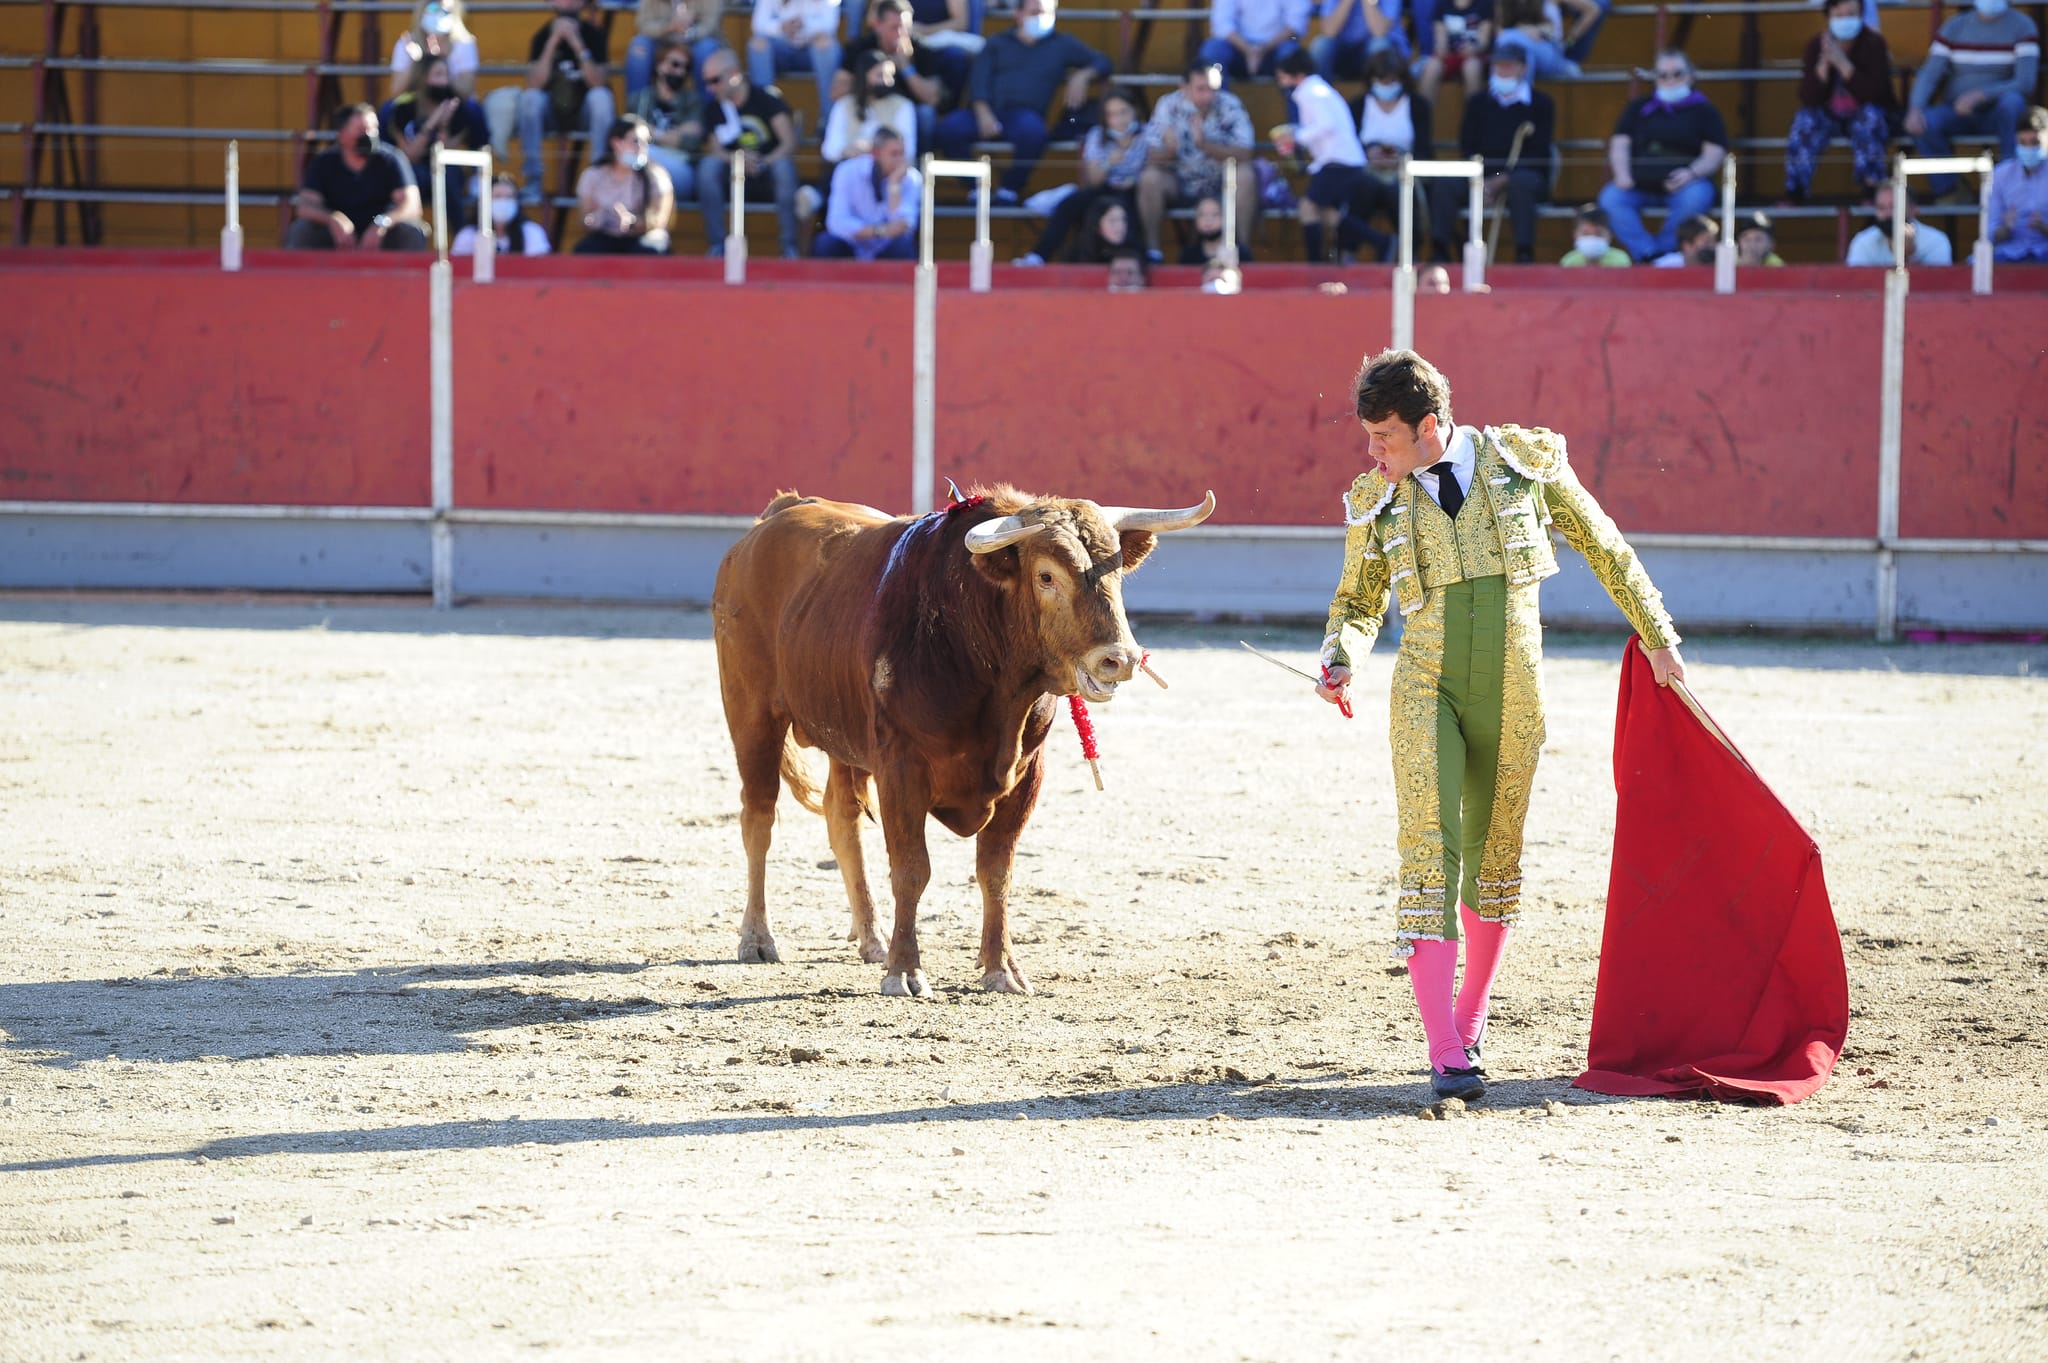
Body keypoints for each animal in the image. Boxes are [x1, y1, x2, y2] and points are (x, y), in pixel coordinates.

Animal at [710, 484, 1216, 998]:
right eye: (1046, 576)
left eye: (1115, 572)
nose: (1120, 659)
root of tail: (775, 516)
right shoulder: (901, 767)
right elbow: (912, 869)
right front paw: (904, 971)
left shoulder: (1027, 772)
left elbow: (996, 872)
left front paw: (1001, 969)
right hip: (751, 714)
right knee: (759, 818)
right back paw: (757, 939)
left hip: (842, 737)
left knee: (842, 819)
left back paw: (872, 939)